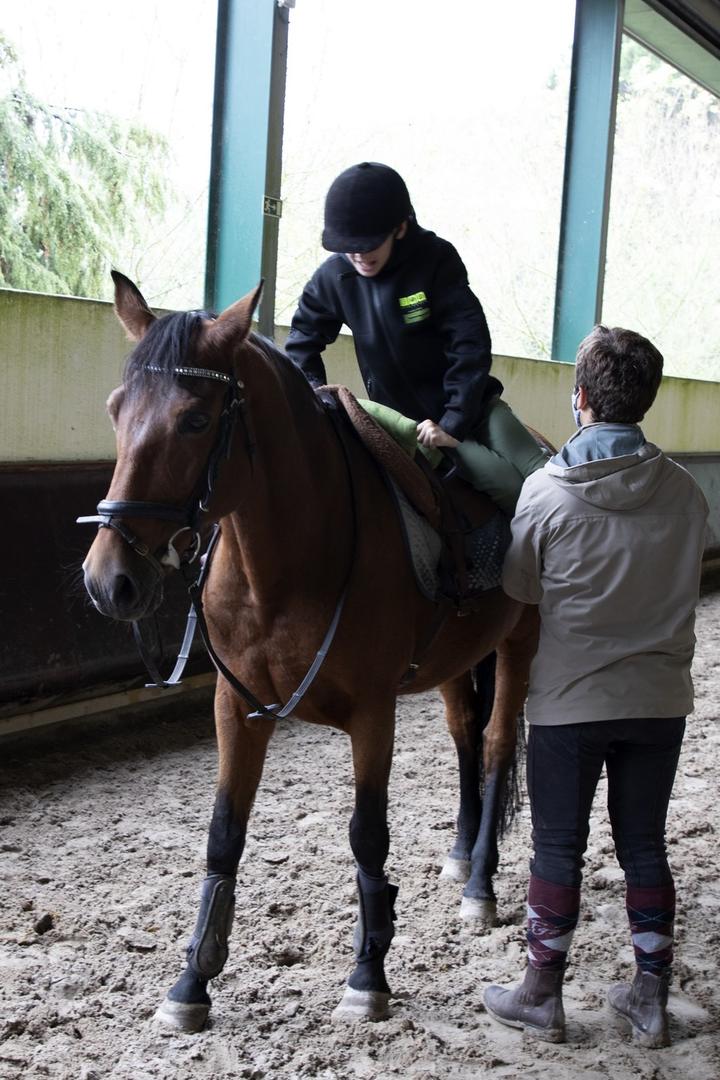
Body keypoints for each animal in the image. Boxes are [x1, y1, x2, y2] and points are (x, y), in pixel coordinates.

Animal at [81, 274, 537, 1032]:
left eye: (195, 421)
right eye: (116, 410)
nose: (108, 579)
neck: (287, 565)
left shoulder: (374, 713)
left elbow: (367, 835)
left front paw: (368, 973)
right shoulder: (235, 707)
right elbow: (223, 836)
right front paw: (191, 983)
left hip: (520, 641)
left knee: (499, 742)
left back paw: (479, 884)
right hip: (453, 661)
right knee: (466, 736)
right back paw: (458, 855)